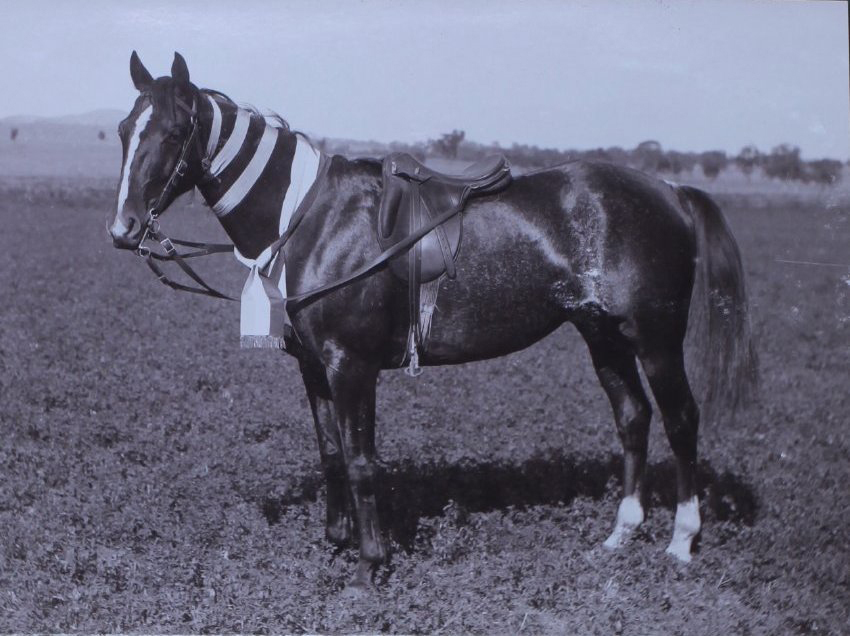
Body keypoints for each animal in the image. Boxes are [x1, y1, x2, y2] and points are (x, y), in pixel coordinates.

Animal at [109, 52, 757, 593]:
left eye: (173, 133)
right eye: (123, 131)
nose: (124, 228)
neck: (313, 220)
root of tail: (670, 190)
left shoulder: (352, 367)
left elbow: (361, 461)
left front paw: (369, 567)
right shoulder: (315, 368)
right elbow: (330, 454)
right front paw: (335, 547)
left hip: (655, 339)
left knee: (680, 420)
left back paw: (680, 542)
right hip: (602, 334)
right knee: (633, 417)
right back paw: (620, 535)